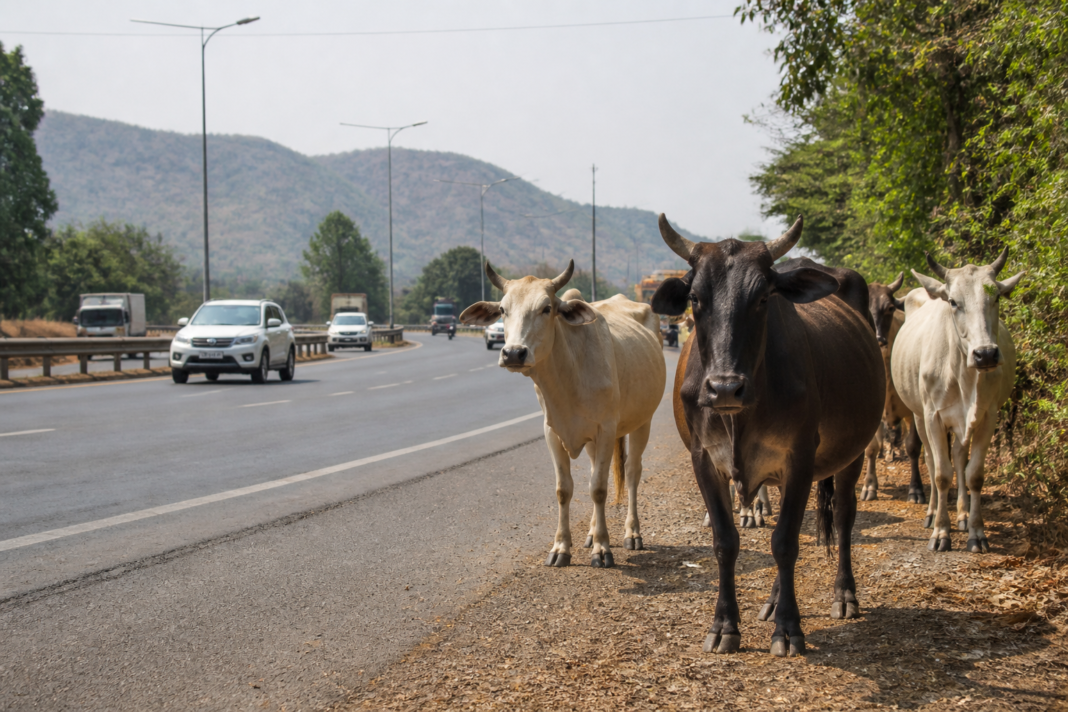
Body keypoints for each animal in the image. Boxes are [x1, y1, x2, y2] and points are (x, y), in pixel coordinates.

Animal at [459, 260, 666, 568]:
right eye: (503, 310)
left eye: (547, 308)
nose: (513, 353)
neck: (569, 372)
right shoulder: (552, 432)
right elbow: (564, 489)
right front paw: (561, 548)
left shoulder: (606, 429)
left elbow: (599, 489)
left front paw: (603, 549)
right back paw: (591, 533)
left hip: (643, 421)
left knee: (631, 471)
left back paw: (632, 533)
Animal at [652, 214, 884, 657]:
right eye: (695, 299)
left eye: (762, 298)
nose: (725, 388)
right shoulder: (703, 459)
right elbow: (726, 541)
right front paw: (724, 626)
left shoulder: (800, 457)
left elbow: (786, 542)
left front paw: (789, 628)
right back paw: (774, 601)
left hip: (853, 452)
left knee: (843, 517)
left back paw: (844, 595)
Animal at [861, 274, 927, 503]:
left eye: (889, 308)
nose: (878, 339)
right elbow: (871, 448)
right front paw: (869, 486)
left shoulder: (915, 411)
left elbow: (913, 446)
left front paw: (916, 489)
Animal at [890, 250, 1023, 553]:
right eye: (953, 301)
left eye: (996, 297)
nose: (985, 354)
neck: (963, 374)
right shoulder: (933, 417)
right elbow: (941, 473)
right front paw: (940, 532)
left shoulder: (987, 416)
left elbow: (974, 474)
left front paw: (977, 532)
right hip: (919, 416)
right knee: (930, 460)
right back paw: (931, 513)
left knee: (960, 458)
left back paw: (962, 514)